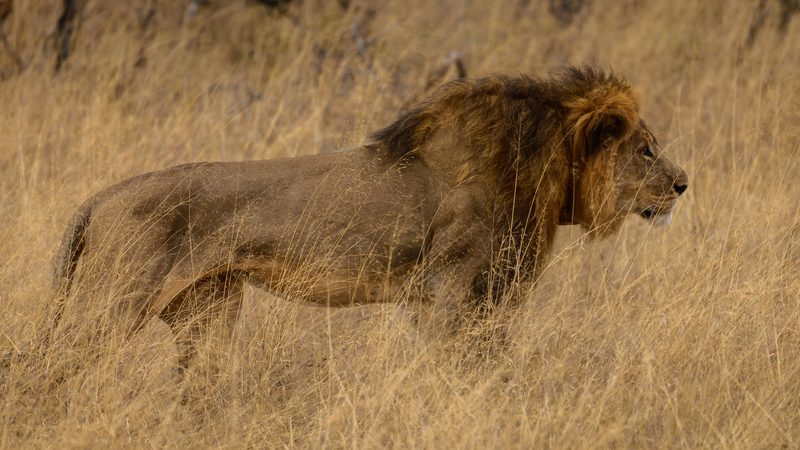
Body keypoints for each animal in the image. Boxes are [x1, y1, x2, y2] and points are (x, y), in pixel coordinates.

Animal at [50, 67, 688, 370]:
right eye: (646, 150)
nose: (684, 184)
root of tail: (100, 197)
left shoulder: (483, 297)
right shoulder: (449, 291)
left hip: (207, 312)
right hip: (112, 306)